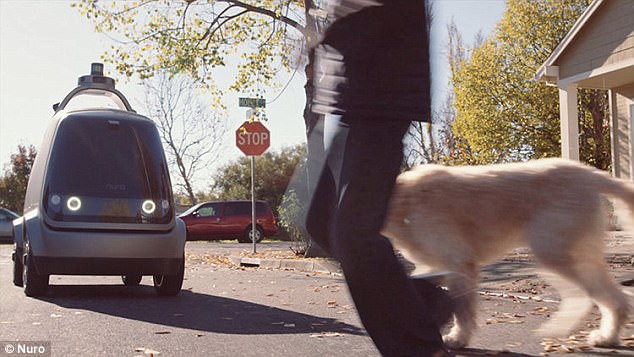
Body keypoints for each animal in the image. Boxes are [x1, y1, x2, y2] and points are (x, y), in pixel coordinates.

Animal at [380, 158, 628, 348]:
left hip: (555, 254)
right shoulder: (434, 268)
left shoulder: (459, 264)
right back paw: (607, 337)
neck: (402, 199)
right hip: (580, 256)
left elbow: (463, 309)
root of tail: (588, 173)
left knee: (606, 297)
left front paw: (459, 338)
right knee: (618, 298)